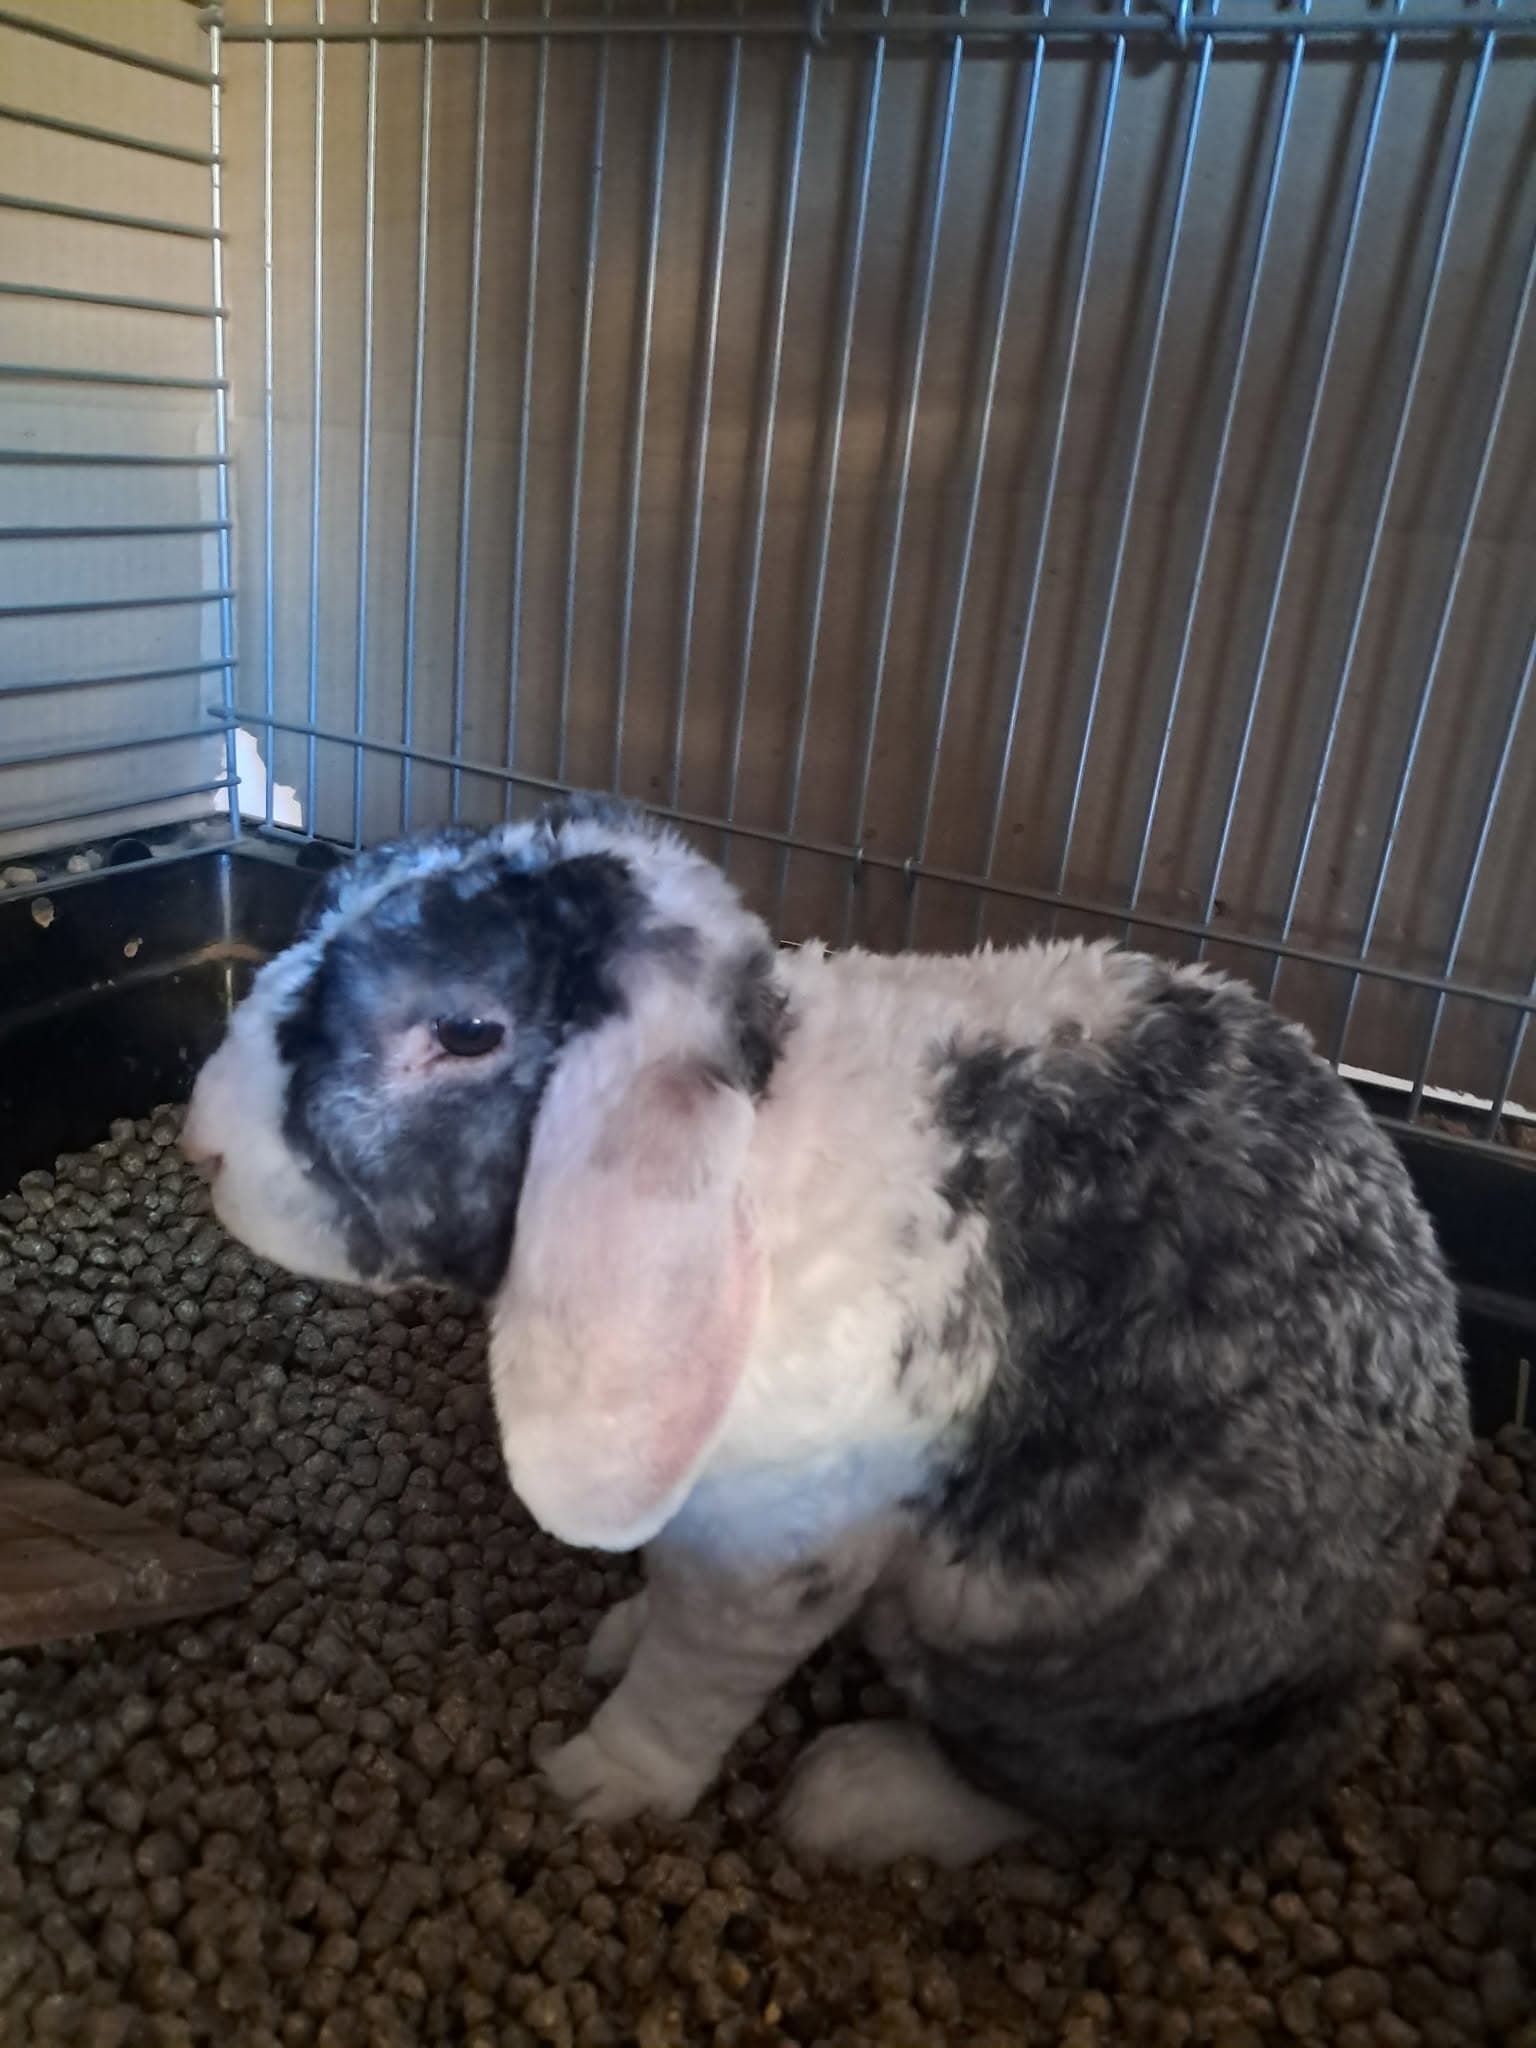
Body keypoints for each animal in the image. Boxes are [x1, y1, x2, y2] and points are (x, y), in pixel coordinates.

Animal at [184, 797, 1469, 1866]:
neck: (757, 1147)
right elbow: (664, 1601)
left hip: (1052, 1645)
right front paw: (618, 1631)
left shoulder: (776, 1543)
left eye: (462, 1028)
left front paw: (596, 1779)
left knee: (1080, 1792)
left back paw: (853, 1795)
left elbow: (694, 1675)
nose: (202, 1142)